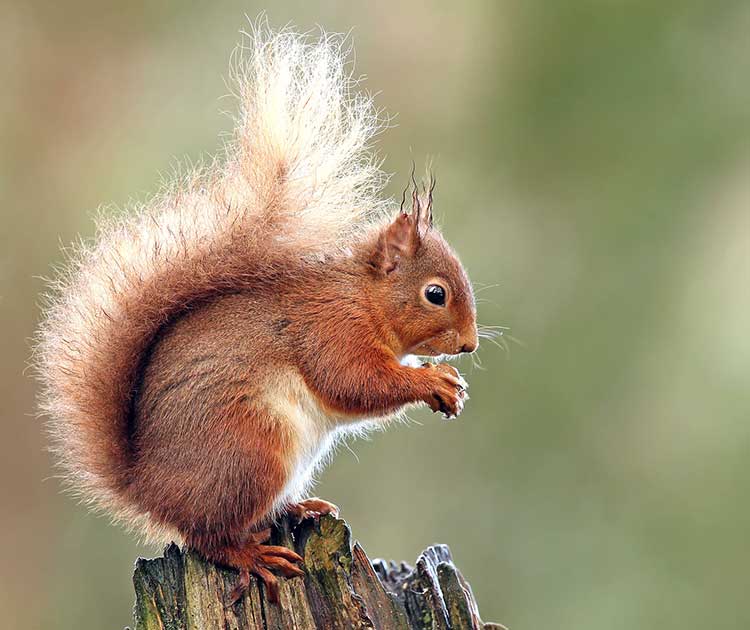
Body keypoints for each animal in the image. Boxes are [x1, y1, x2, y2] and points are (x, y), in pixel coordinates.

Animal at [35, 25, 478, 608]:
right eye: (435, 294)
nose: (470, 345)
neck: (364, 298)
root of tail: (148, 486)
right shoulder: (329, 330)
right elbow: (355, 382)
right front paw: (434, 382)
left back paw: (299, 507)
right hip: (252, 451)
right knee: (207, 538)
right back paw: (252, 555)